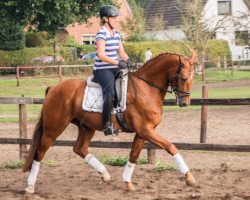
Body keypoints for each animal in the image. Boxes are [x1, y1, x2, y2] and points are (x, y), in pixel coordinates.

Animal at [23, 51, 195, 194]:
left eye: (192, 78)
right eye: (184, 78)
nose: (185, 103)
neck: (147, 88)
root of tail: (53, 89)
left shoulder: (144, 131)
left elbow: (134, 155)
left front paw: (127, 182)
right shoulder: (145, 130)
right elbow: (170, 146)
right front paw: (189, 177)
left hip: (86, 127)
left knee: (80, 148)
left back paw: (105, 174)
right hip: (54, 128)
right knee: (40, 151)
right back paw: (30, 186)